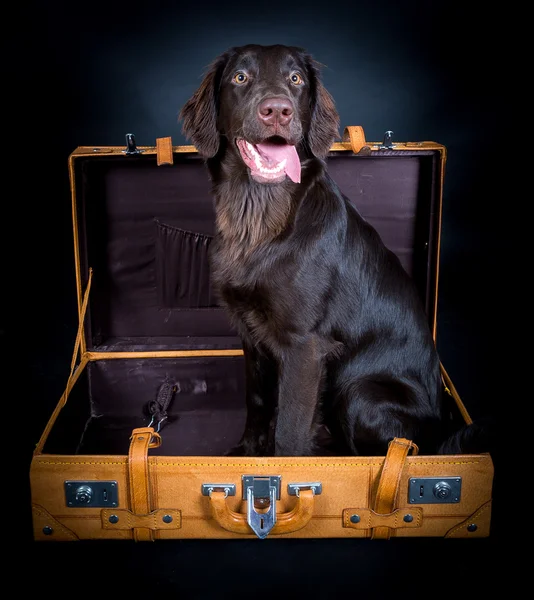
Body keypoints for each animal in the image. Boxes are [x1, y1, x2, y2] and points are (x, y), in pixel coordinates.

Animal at [180, 43, 482, 454]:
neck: (259, 215)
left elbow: (290, 433)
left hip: (360, 392)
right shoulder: (251, 335)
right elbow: (256, 401)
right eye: (240, 77)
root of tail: (441, 431)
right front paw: (247, 454)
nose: (278, 110)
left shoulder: (304, 346)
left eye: (296, 79)